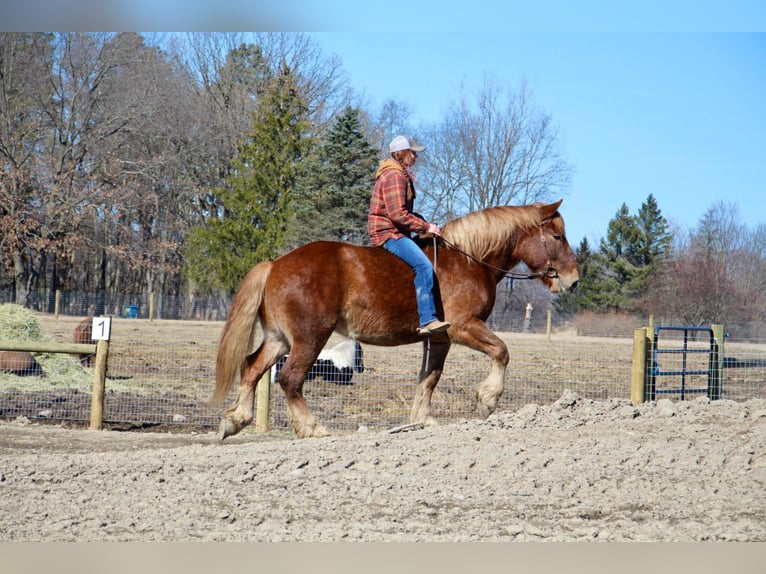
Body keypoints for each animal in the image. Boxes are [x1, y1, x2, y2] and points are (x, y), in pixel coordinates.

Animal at [213, 200, 580, 438]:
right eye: (557, 237)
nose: (574, 279)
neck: (469, 259)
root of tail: (275, 264)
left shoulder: (439, 338)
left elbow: (429, 378)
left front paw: (421, 420)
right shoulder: (463, 328)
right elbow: (502, 351)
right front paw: (488, 399)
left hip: (279, 338)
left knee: (252, 367)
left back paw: (235, 419)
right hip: (310, 338)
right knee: (290, 379)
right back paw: (312, 427)